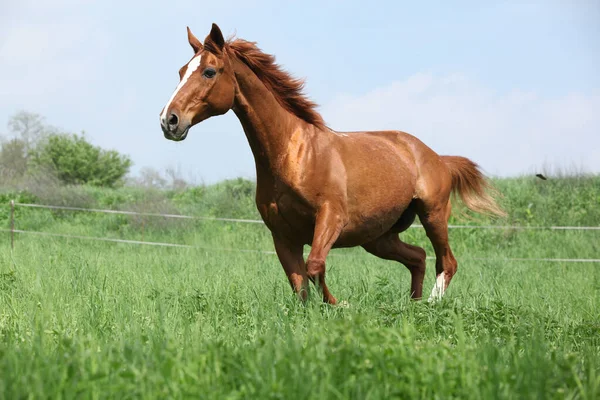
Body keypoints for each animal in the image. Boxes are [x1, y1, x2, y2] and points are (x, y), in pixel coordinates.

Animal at [159, 23, 506, 304]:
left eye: (209, 72)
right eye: (180, 71)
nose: (168, 120)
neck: (293, 153)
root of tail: (436, 157)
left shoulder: (331, 217)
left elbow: (315, 266)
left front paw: (340, 304)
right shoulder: (282, 235)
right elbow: (299, 285)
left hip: (433, 214)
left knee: (445, 262)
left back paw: (431, 306)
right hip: (378, 237)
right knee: (418, 258)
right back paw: (413, 305)